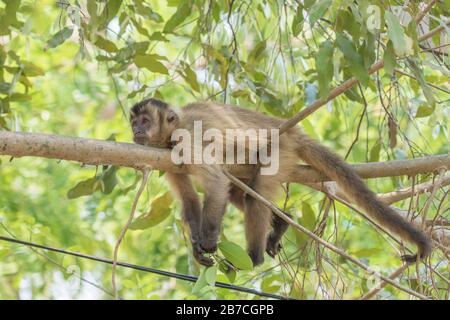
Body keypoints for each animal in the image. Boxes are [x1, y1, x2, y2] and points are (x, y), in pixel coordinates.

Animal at [129, 98, 432, 268]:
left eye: (145, 120)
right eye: (134, 122)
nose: (136, 130)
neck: (170, 134)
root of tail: (289, 129)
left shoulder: (187, 139)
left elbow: (215, 184)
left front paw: (209, 240)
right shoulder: (164, 154)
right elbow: (190, 199)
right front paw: (196, 247)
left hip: (281, 148)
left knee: (253, 194)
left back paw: (253, 259)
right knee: (242, 193)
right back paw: (282, 221)